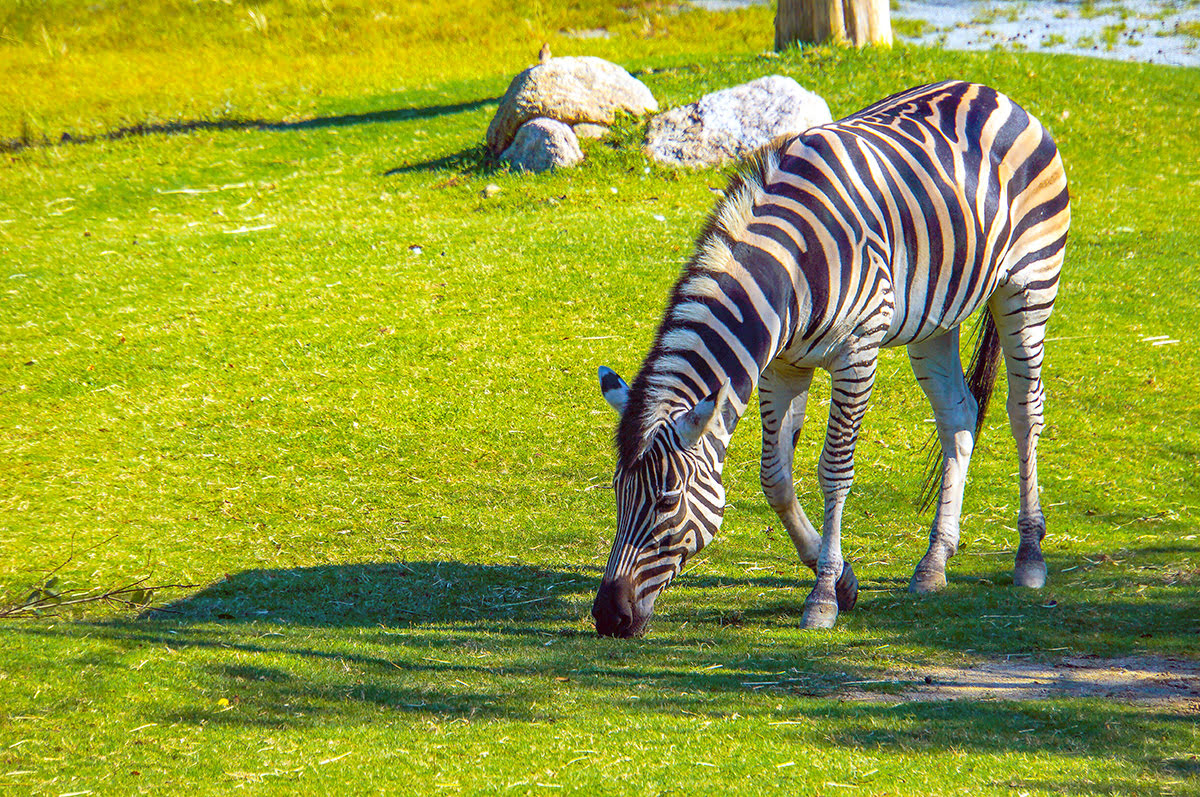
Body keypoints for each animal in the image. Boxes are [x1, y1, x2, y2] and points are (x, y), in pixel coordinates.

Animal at [590, 81, 1070, 638]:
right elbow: (774, 477)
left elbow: (834, 470)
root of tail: (990, 92)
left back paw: (1030, 556)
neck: (790, 269)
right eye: (617, 492)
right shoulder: (782, 366)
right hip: (937, 319)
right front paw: (841, 579)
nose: (608, 617)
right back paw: (934, 562)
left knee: (1025, 412)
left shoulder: (857, 351)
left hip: (1030, 286)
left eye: (667, 500)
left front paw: (821, 599)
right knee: (959, 416)